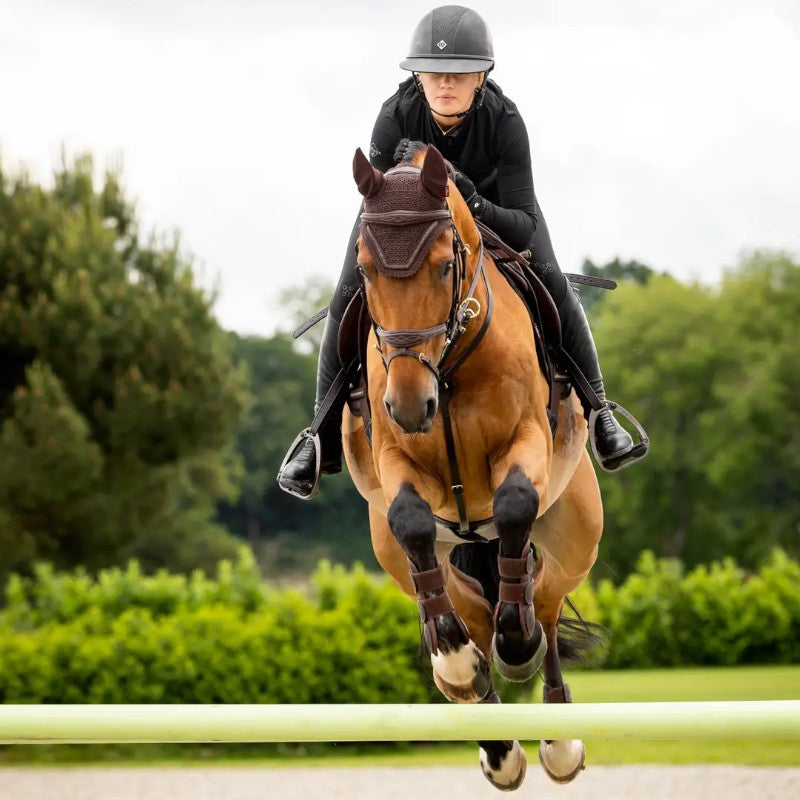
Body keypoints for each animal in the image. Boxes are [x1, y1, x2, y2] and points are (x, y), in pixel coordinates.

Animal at [341, 142, 603, 790]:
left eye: (442, 267)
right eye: (365, 270)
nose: (411, 405)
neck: (451, 363)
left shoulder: (526, 440)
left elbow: (513, 503)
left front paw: (517, 642)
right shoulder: (395, 461)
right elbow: (411, 520)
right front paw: (457, 665)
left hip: (574, 536)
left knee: (546, 605)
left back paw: (554, 730)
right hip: (401, 553)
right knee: (457, 608)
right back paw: (491, 730)